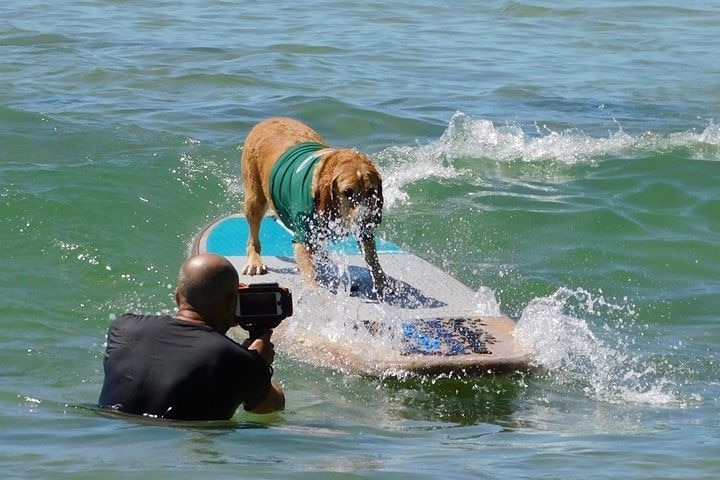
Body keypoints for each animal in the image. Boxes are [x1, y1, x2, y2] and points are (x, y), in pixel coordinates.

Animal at [240, 118, 388, 294]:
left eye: (372, 191)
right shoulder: (302, 234)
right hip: (254, 199)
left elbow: (372, 258)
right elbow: (307, 265)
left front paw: (383, 283)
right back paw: (254, 261)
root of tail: (266, 121)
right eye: (347, 192)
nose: (368, 219)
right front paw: (314, 288)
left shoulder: (363, 232)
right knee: (253, 236)